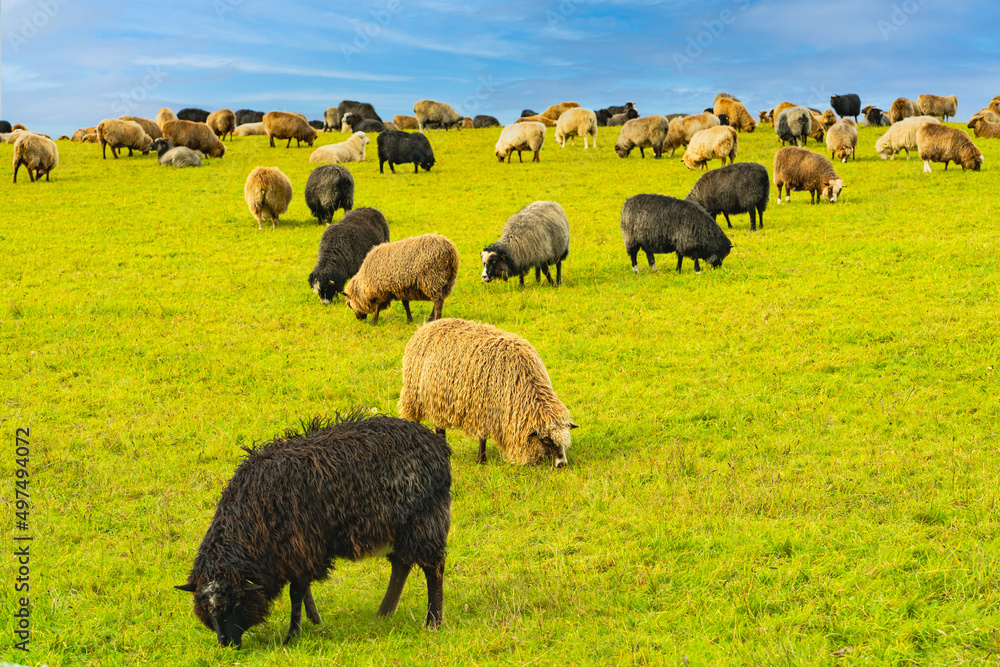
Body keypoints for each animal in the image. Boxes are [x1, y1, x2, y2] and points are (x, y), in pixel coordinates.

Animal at [176, 411, 451, 648]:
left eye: (236, 604)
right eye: (205, 607)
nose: (227, 644)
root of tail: (435, 443)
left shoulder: (301, 546)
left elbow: (296, 593)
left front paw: (293, 634)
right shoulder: (294, 552)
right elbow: (304, 589)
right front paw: (314, 620)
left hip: (425, 521)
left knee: (433, 569)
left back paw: (433, 621)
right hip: (396, 528)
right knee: (401, 565)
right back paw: (383, 614)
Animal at [399, 318, 578, 467]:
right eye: (547, 441)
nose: (562, 465)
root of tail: (426, 326)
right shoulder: (482, 408)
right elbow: (482, 438)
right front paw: (481, 460)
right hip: (419, 396)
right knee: (434, 426)